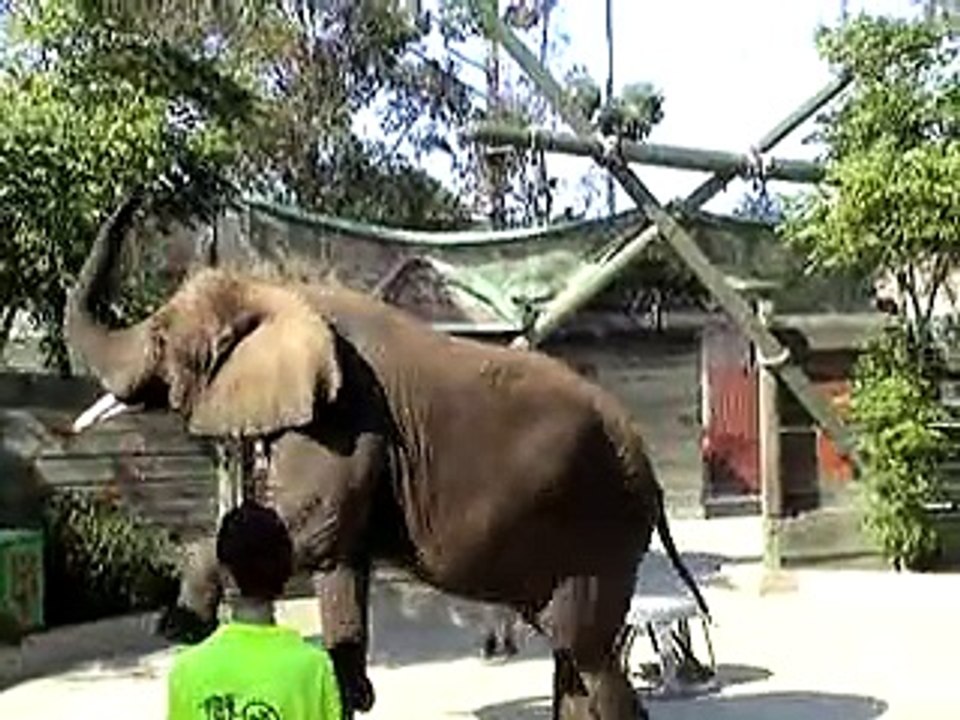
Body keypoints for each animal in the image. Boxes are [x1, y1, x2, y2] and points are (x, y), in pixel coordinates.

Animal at [64, 190, 711, 720]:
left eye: (160, 340)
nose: (139, 193)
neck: (282, 292)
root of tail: (650, 472)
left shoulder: (346, 418)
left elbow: (309, 532)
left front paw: (179, 626)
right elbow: (340, 564)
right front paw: (352, 687)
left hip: (600, 529)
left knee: (587, 653)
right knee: (571, 656)